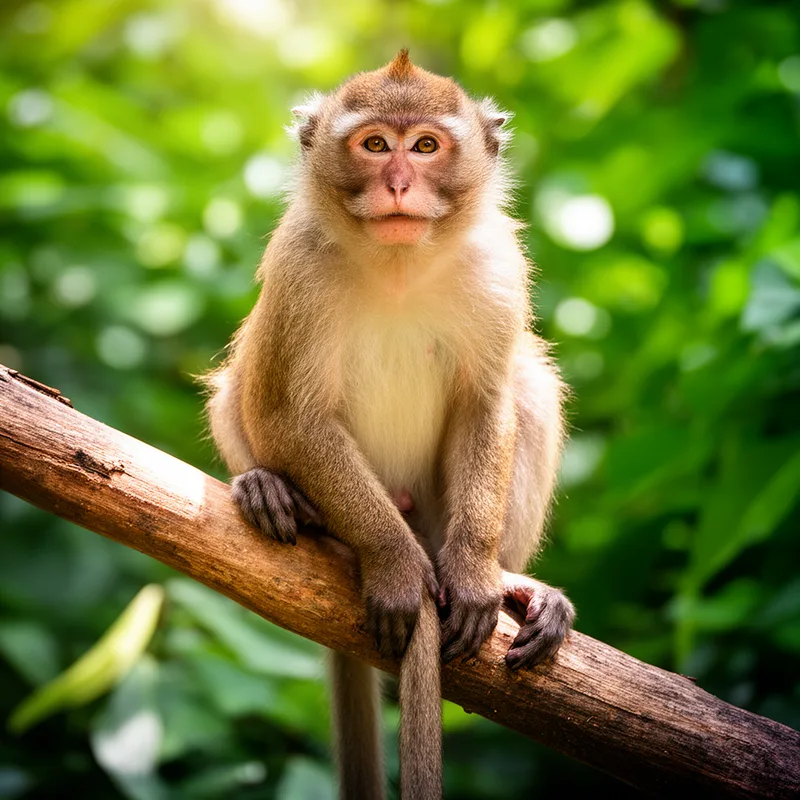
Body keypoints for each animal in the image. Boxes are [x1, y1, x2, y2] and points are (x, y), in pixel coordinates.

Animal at [205, 50, 575, 800]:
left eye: (425, 147)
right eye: (375, 145)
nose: (399, 183)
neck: (400, 267)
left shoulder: (497, 269)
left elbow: (487, 403)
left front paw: (475, 573)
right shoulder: (297, 268)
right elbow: (286, 416)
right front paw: (395, 563)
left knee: (530, 384)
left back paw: (513, 582)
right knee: (238, 393)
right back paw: (275, 495)